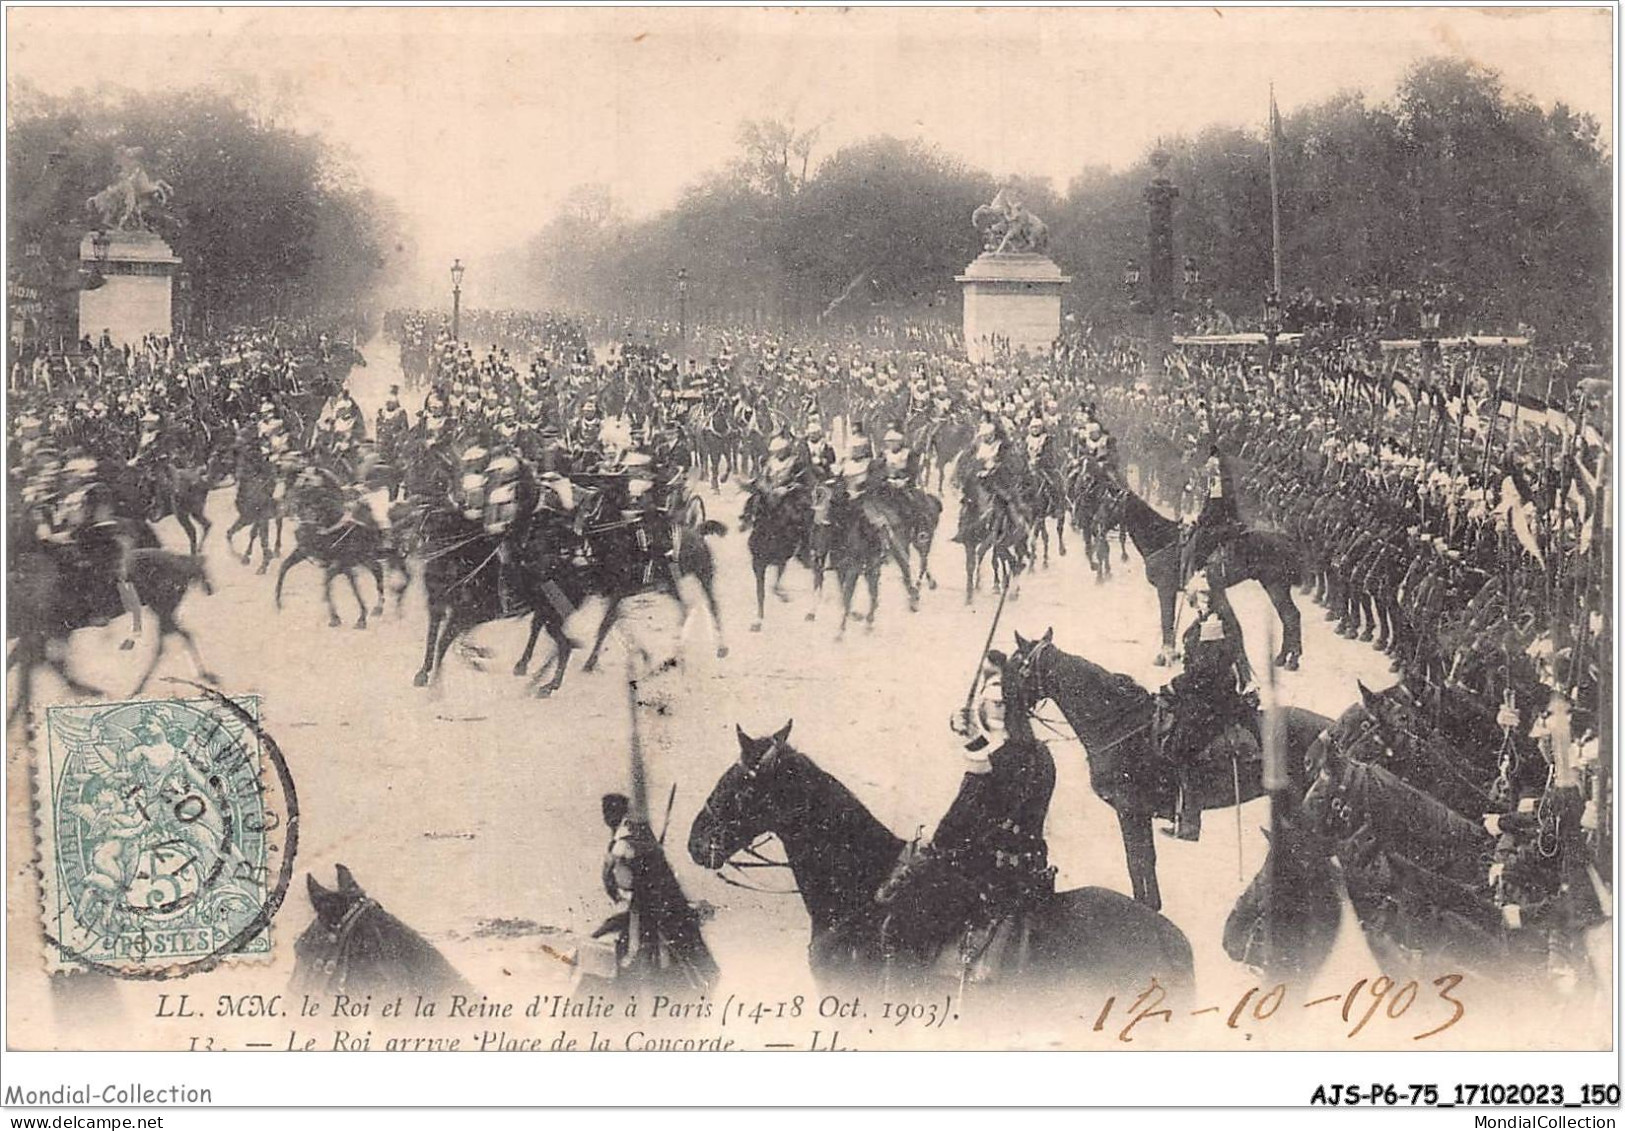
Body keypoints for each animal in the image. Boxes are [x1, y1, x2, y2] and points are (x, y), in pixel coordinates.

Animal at [1001, 630, 1332, 916]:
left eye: (1016, 665)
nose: (1006, 712)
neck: (1120, 726)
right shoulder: (1137, 813)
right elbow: (1146, 860)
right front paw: (1153, 905)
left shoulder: (1129, 810)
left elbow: (1136, 861)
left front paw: (1144, 906)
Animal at [1092, 471, 1306, 672]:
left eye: (1108, 504)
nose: (1095, 523)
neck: (1162, 538)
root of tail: (1287, 539)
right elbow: (1170, 622)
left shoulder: (1165, 590)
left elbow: (1166, 622)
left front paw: (1164, 656)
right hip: (1273, 585)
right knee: (1289, 616)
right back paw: (1283, 658)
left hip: (1276, 584)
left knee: (1291, 616)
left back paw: (1292, 660)